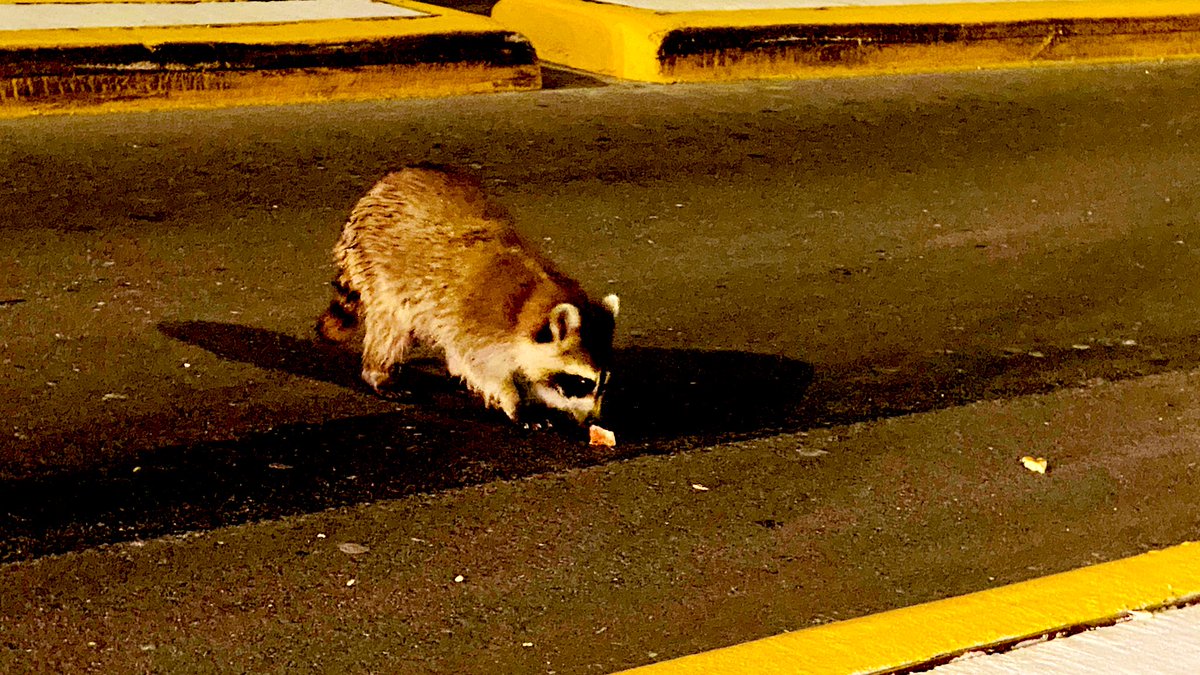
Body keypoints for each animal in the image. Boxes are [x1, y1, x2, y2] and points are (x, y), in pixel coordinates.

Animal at [317, 167, 620, 428]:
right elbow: (485, 368)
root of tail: (379, 188)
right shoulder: (481, 327)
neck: (531, 302)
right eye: (582, 383)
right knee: (390, 328)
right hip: (378, 267)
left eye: (604, 382)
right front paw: (516, 402)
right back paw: (378, 373)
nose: (594, 421)